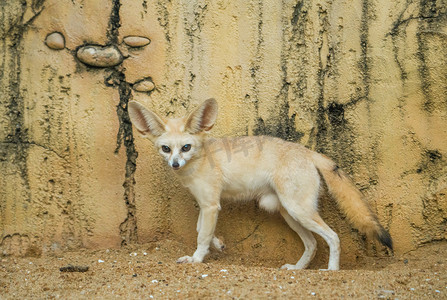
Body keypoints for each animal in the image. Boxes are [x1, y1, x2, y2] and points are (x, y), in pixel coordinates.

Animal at [127, 98, 392, 270]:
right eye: (166, 149)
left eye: (185, 147)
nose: (175, 164)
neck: (200, 160)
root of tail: (307, 152)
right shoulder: (206, 204)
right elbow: (200, 229)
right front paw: (218, 244)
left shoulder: (211, 205)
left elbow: (202, 235)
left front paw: (197, 259)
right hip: (289, 213)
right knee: (313, 243)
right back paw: (298, 269)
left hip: (299, 211)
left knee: (333, 237)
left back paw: (331, 271)